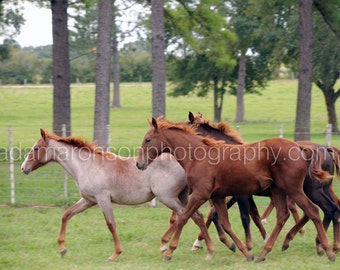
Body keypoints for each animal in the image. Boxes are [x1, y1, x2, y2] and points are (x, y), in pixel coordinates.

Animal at [21, 130, 210, 260]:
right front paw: (62, 249)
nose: (24, 168)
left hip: (168, 198)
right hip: (180, 198)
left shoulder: (103, 198)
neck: (87, 166)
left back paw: (180, 249)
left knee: (189, 216)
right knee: (194, 216)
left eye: (36, 148)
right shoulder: (88, 201)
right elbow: (66, 214)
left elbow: (111, 224)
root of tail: (184, 163)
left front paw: (115, 254)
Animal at [135, 117, 334, 262]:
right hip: (280, 190)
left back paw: (328, 250)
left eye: (148, 140)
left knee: (314, 211)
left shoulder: (201, 194)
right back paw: (264, 252)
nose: (139, 164)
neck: (198, 155)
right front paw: (245, 251)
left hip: (295, 189)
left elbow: (184, 217)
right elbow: (224, 222)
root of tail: (300, 147)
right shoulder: (218, 197)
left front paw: (169, 251)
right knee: (285, 215)